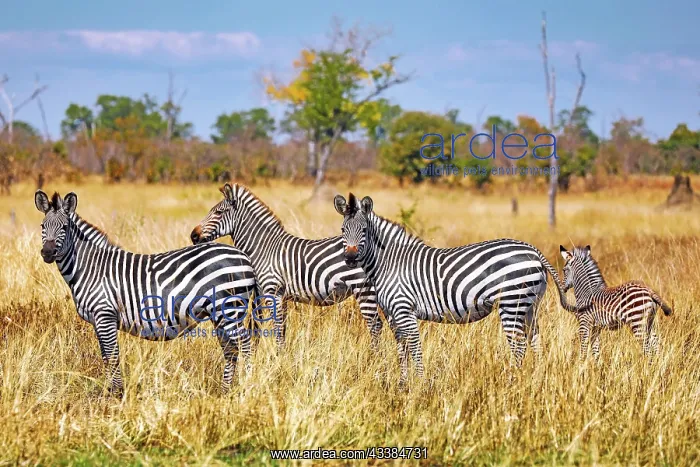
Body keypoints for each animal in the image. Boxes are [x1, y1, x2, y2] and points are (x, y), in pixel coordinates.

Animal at [35, 190, 260, 395]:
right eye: (42, 226)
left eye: (64, 227)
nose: (47, 253)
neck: (91, 268)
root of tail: (243, 256)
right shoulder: (98, 321)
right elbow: (106, 357)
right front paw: (111, 393)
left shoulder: (105, 315)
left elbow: (112, 356)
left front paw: (117, 395)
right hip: (219, 314)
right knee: (231, 351)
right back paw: (225, 392)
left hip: (229, 310)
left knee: (245, 346)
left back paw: (247, 387)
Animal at [190, 183, 383, 351]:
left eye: (218, 212)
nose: (193, 236)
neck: (264, 248)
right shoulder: (268, 294)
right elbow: (267, 327)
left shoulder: (273, 291)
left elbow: (277, 328)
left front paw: (278, 357)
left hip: (363, 290)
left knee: (375, 325)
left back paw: (373, 358)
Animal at [333, 193, 580, 386]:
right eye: (343, 229)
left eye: (364, 230)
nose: (350, 258)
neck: (388, 262)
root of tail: (533, 250)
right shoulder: (393, 314)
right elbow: (402, 348)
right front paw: (403, 383)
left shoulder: (404, 309)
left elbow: (414, 346)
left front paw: (420, 384)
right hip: (529, 305)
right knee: (535, 339)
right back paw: (535, 378)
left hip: (512, 302)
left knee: (518, 345)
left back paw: (512, 380)